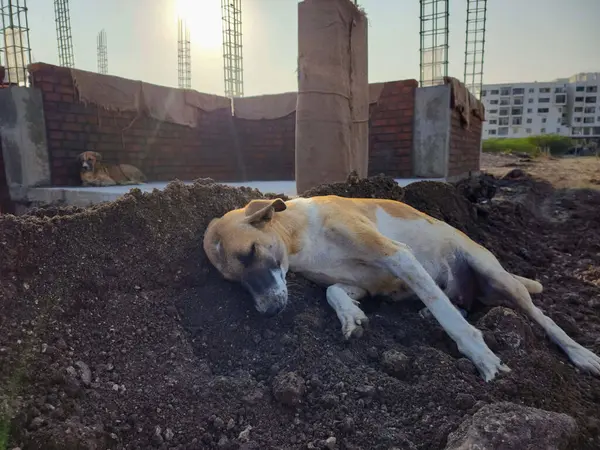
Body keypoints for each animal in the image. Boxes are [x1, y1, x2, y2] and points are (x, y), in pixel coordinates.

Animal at [204, 195, 600, 382]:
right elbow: (333, 292)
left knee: (544, 319)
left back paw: (581, 354)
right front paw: (351, 317)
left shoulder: (398, 256)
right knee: (459, 303)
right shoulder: (360, 285)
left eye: (251, 252)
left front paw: (481, 356)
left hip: (496, 274)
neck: (302, 235)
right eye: (234, 281)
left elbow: (453, 321)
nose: (269, 312)